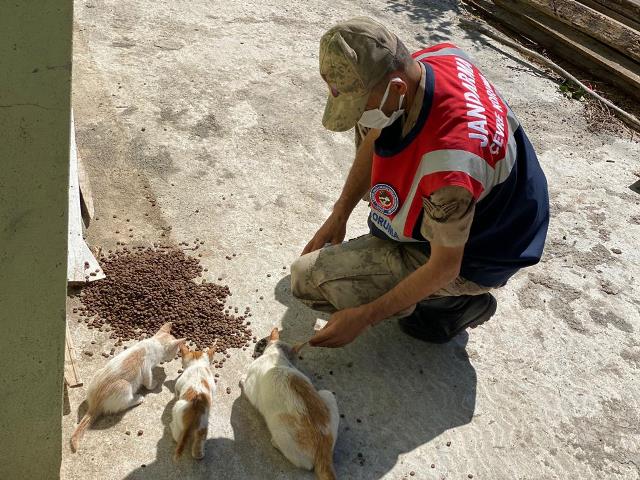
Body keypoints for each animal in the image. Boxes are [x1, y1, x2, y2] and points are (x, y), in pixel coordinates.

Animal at [70, 320, 185, 452]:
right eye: (177, 351)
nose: (175, 356)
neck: (154, 342)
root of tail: (94, 404)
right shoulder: (146, 368)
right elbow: (148, 381)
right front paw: (154, 384)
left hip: (98, 372)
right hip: (124, 386)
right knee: (123, 404)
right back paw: (138, 398)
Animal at [241, 328, 340, 478]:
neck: (277, 356)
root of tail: (324, 446)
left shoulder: (250, 387)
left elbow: (245, 384)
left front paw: (241, 378)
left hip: (277, 425)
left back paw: (275, 443)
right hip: (327, 393)